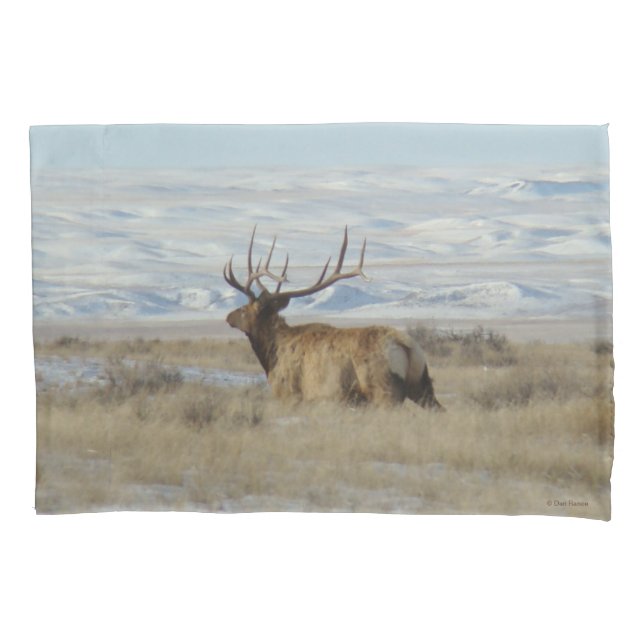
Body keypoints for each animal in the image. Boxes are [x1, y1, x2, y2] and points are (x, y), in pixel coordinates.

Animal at [223, 226, 443, 410]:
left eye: (243, 309)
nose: (228, 317)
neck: (271, 355)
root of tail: (406, 346)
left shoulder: (290, 394)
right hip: (422, 385)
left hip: (384, 388)